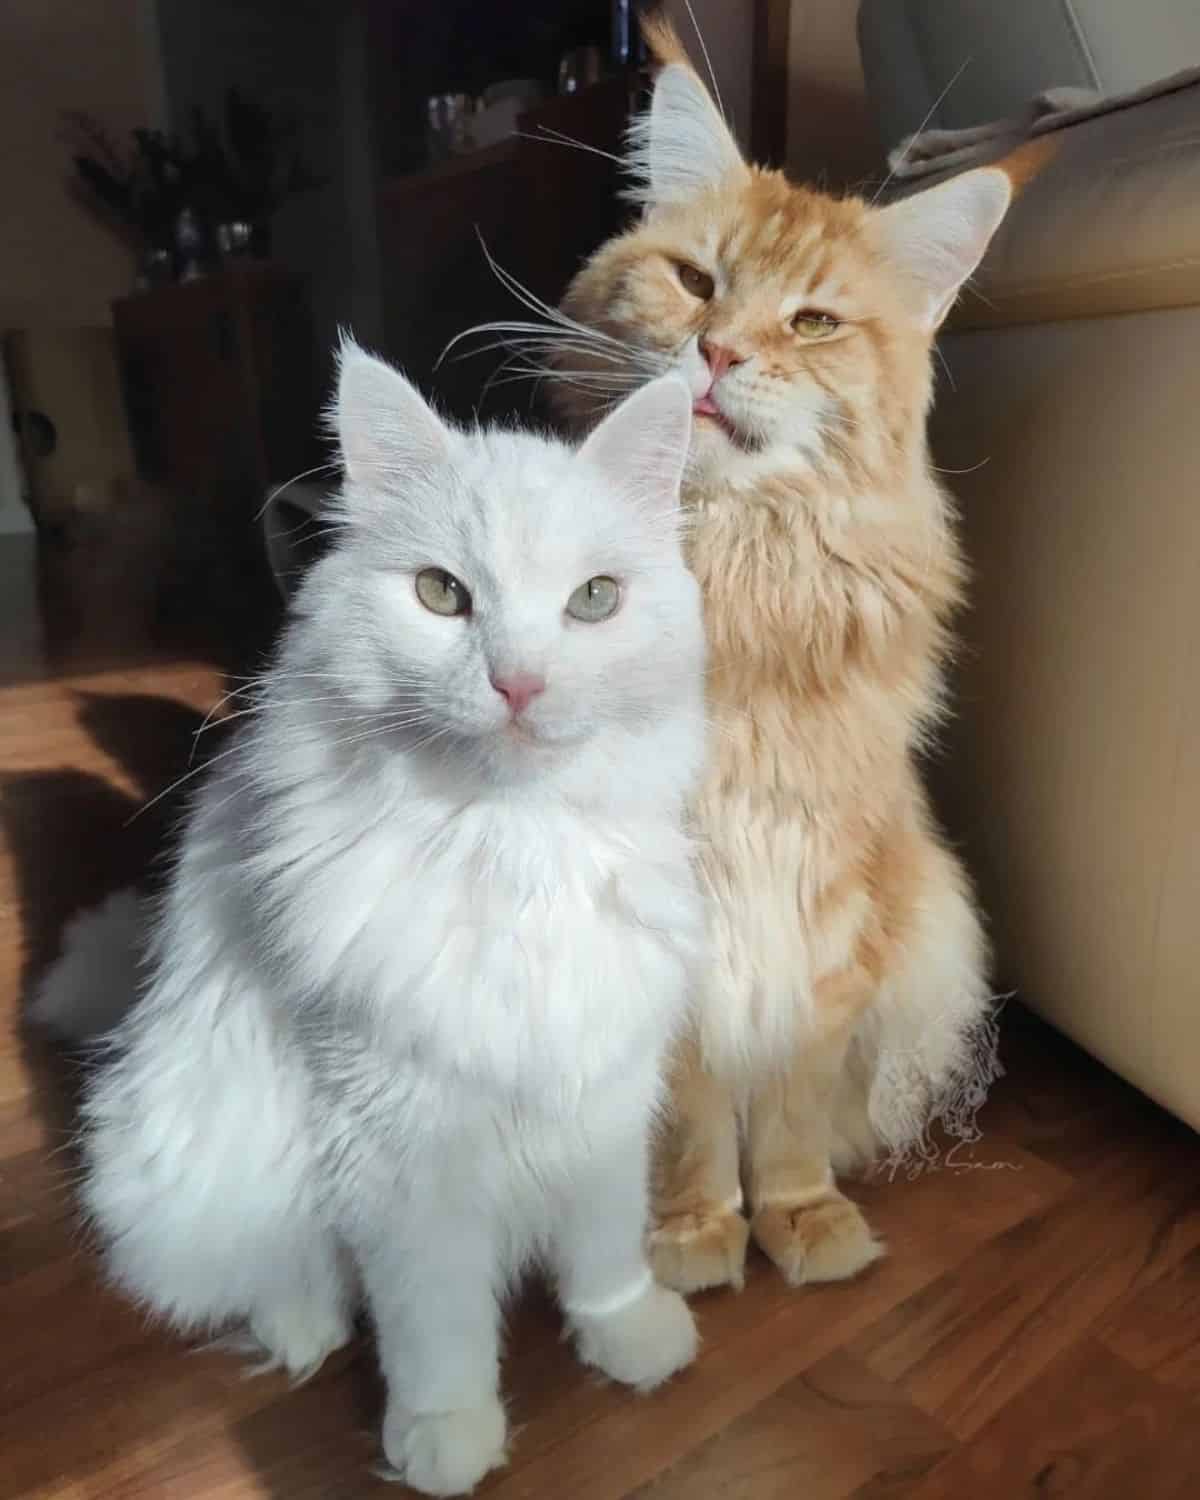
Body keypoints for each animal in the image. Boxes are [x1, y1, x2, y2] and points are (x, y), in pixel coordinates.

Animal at [32, 345, 708, 1494]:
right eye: (443, 595)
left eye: (594, 602)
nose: (519, 683)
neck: (509, 846)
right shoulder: (395, 1142)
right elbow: (433, 1321)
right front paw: (445, 1436)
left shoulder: (605, 1086)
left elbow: (604, 1243)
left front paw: (626, 1335)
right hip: (189, 1156)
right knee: (269, 1281)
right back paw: (304, 1330)